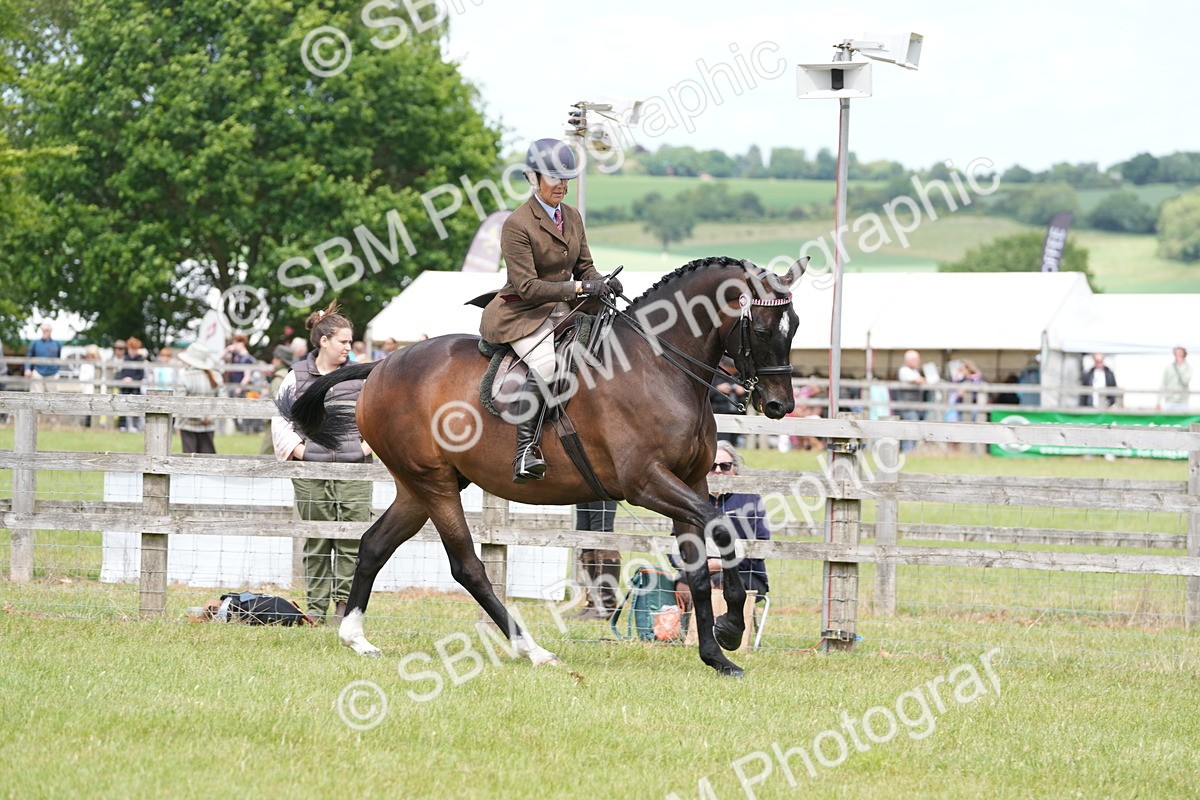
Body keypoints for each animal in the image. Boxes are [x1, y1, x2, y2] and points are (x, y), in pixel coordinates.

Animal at [280, 255, 807, 677]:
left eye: (795, 325)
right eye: (763, 330)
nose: (779, 406)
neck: (657, 366)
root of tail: (381, 366)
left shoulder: (691, 483)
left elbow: (701, 565)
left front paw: (717, 654)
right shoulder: (646, 483)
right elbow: (722, 525)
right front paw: (732, 626)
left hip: (419, 486)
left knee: (373, 545)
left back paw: (356, 638)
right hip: (433, 485)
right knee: (468, 566)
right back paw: (532, 650)